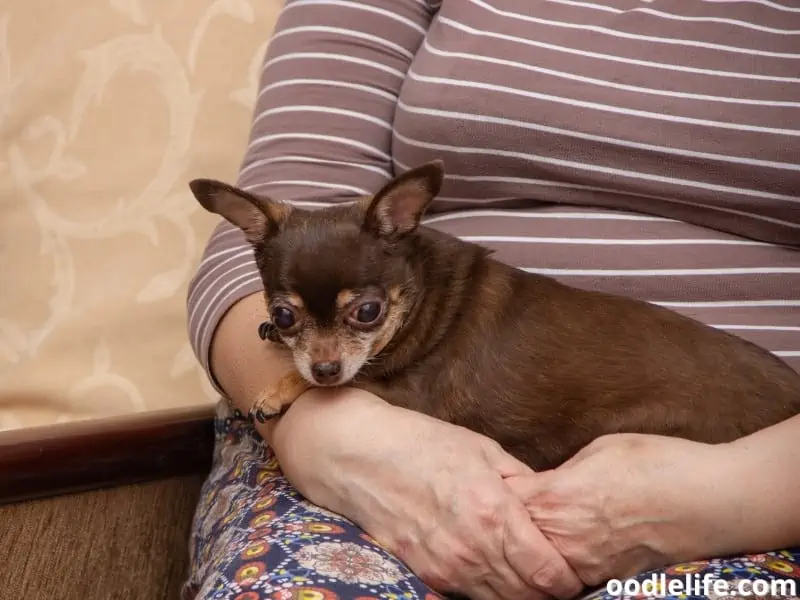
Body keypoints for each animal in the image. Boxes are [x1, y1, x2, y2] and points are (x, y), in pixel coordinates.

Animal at [189, 162, 800, 472]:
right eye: (284, 314)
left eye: (367, 312)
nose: (324, 367)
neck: (421, 298)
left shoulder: (404, 392)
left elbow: (340, 384)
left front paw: (280, 388)